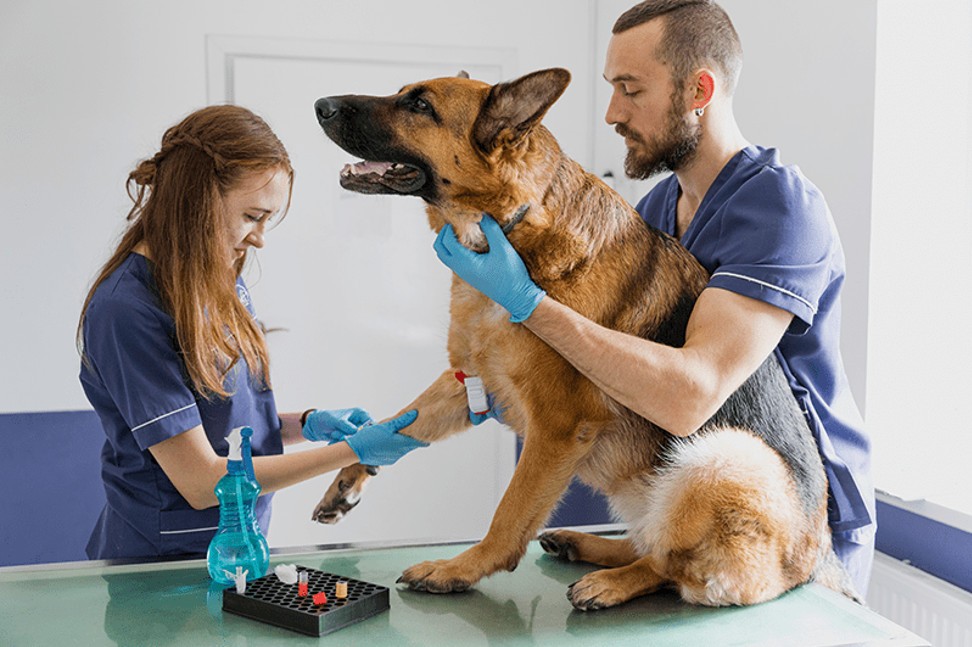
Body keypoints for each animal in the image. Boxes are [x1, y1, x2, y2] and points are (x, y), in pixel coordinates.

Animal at [314, 68, 860, 612]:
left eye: (421, 106)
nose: (320, 105)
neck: (511, 228)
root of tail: (815, 560)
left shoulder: (556, 426)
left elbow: (508, 515)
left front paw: (459, 569)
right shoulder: (470, 382)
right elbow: (397, 420)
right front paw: (351, 469)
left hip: (721, 455)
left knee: (671, 567)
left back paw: (612, 581)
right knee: (649, 540)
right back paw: (586, 545)